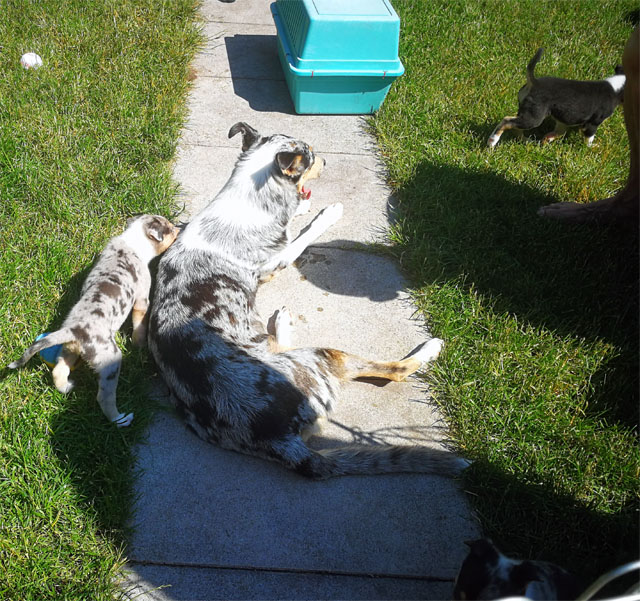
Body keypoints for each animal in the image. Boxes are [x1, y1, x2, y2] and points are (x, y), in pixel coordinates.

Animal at [9, 214, 179, 427]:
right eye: (170, 229)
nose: (179, 228)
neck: (131, 241)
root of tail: (74, 329)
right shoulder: (141, 299)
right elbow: (139, 326)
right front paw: (139, 346)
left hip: (69, 350)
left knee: (58, 371)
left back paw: (67, 387)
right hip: (110, 362)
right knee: (104, 398)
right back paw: (120, 419)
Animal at [148, 122, 468, 479]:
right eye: (312, 156)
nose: (327, 162)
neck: (249, 197)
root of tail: (277, 439)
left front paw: (301, 206)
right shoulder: (277, 261)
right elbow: (302, 237)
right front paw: (326, 215)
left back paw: (280, 323)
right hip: (323, 355)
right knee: (395, 370)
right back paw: (430, 348)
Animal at [488, 48, 625, 148]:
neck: (616, 86)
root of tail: (535, 82)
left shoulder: (563, 120)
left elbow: (558, 133)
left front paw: (547, 140)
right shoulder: (592, 123)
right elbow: (589, 139)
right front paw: (592, 147)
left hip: (526, 113)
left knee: (515, 127)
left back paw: (527, 140)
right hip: (534, 118)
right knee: (506, 121)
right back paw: (492, 141)